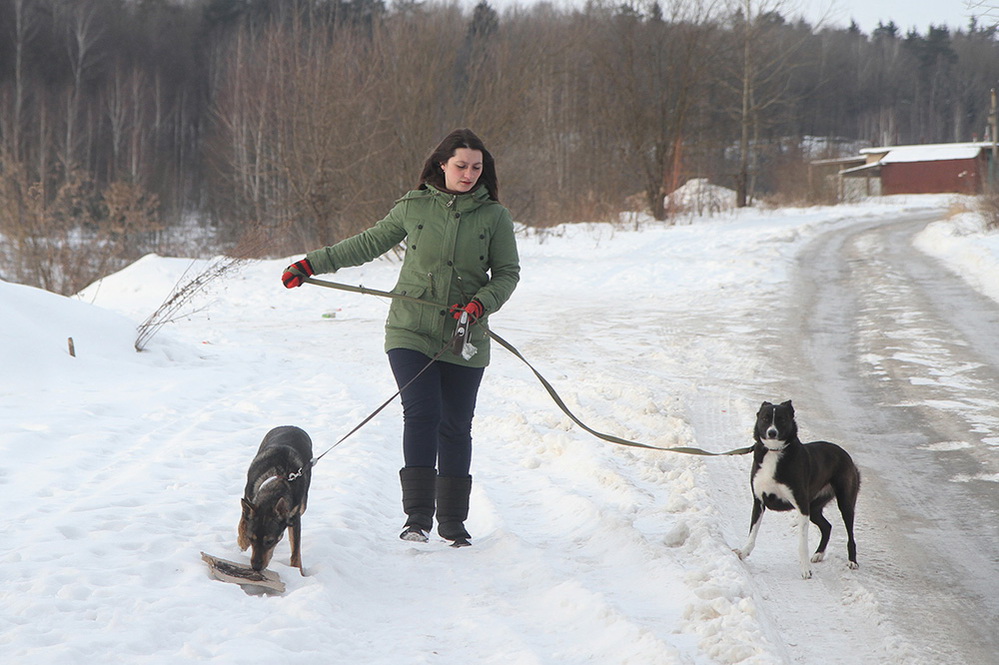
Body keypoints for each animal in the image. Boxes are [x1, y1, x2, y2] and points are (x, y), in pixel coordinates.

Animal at [732, 400, 864, 576]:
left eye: (781, 419)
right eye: (765, 418)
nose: (772, 432)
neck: (774, 451)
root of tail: (845, 455)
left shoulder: (801, 505)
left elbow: (802, 544)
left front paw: (806, 569)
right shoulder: (759, 502)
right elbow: (752, 534)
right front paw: (743, 552)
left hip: (845, 502)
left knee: (850, 534)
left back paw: (852, 561)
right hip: (814, 507)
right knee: (827, 527)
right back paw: (818, 554)